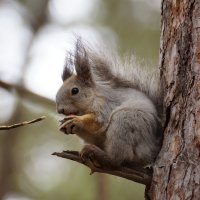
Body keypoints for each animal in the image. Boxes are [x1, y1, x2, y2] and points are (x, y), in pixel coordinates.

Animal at [55, 39, 162, 168]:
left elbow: (97, 122)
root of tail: (151, 151)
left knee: (116, 160)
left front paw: (77, 120)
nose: (60, 110)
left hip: (125, 121)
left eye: (75, 90)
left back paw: (98, 153)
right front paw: (66, 125)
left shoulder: (105, 105)